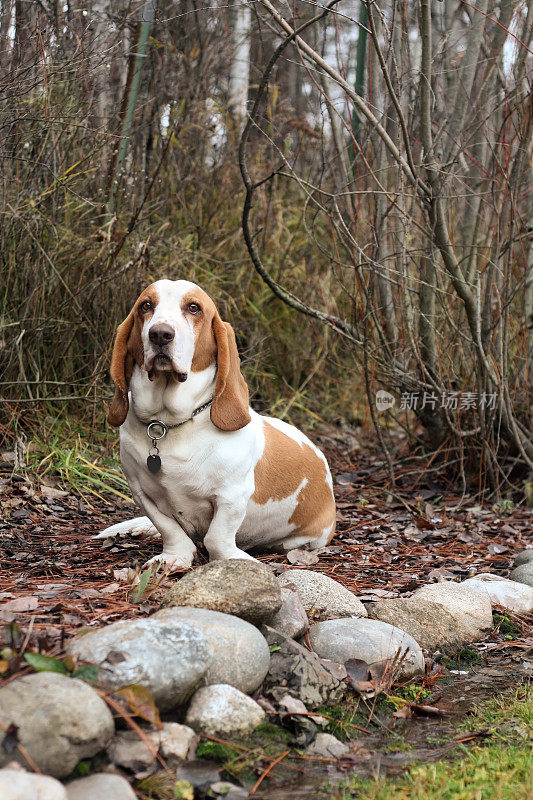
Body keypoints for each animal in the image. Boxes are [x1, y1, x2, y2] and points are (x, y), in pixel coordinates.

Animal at [96, 278, 332, 564]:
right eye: (146, 306)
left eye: (193, 307)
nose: (160, 334)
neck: (167, 424)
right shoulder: (143, 494)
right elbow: (168, 528)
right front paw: (173, 557)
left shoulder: (232, 497)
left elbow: (216, 538)